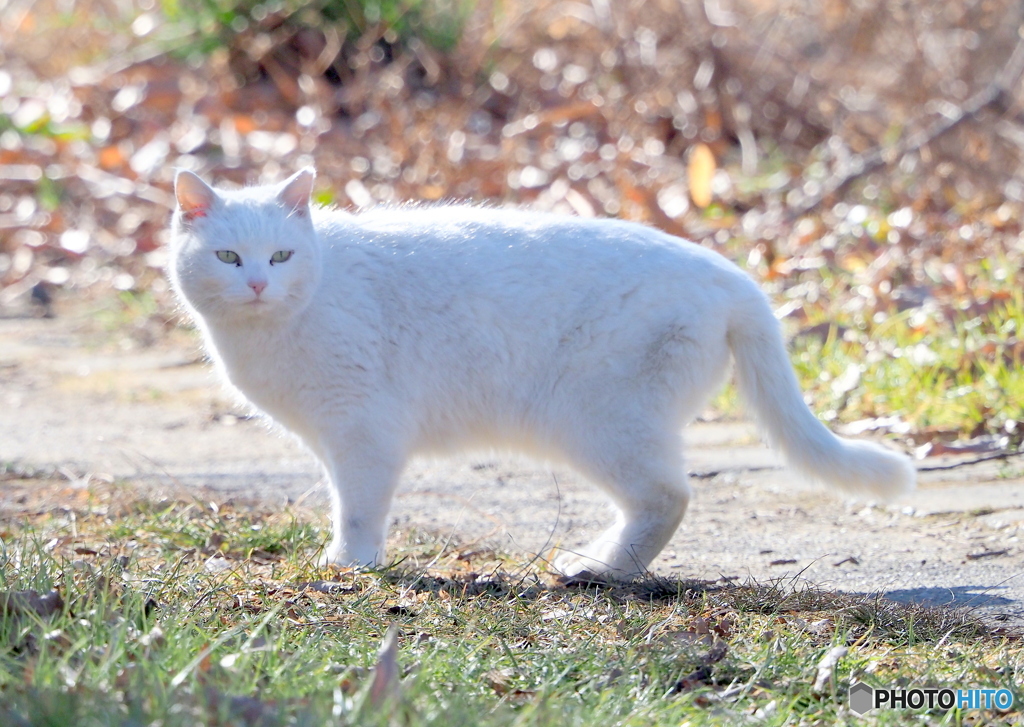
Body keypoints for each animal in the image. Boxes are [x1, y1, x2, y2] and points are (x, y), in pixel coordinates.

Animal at [169, 167, 921, 577]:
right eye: (230, 257)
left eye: (283, 255)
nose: (259, 284)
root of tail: (734, 277)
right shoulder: (334, 437)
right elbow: (343, 499)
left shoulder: (364, 433)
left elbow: (357, 508)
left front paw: (352, 563)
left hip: (598, 423)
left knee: (667, 497)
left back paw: (599, 570)